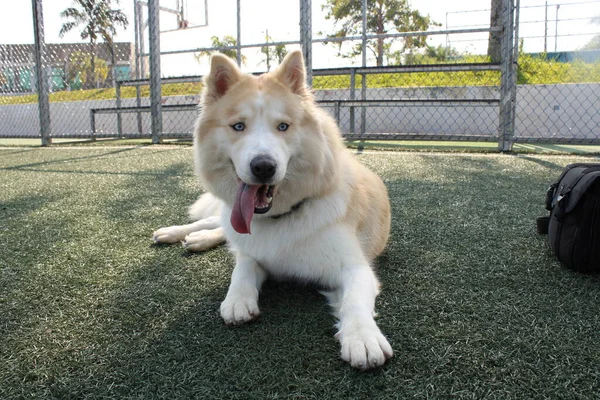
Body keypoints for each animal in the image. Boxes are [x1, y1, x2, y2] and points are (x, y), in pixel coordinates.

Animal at [152, 50, 392, 372]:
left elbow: (354, 302)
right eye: (238, 127)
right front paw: (237, 300)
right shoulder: (252, 252)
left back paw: (198, 240)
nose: (263, 166)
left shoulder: (355, 267)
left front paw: (362, 338)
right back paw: (177, 233)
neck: (281, 216)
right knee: (216, 223)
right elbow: (241, 268)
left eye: (283, 127)